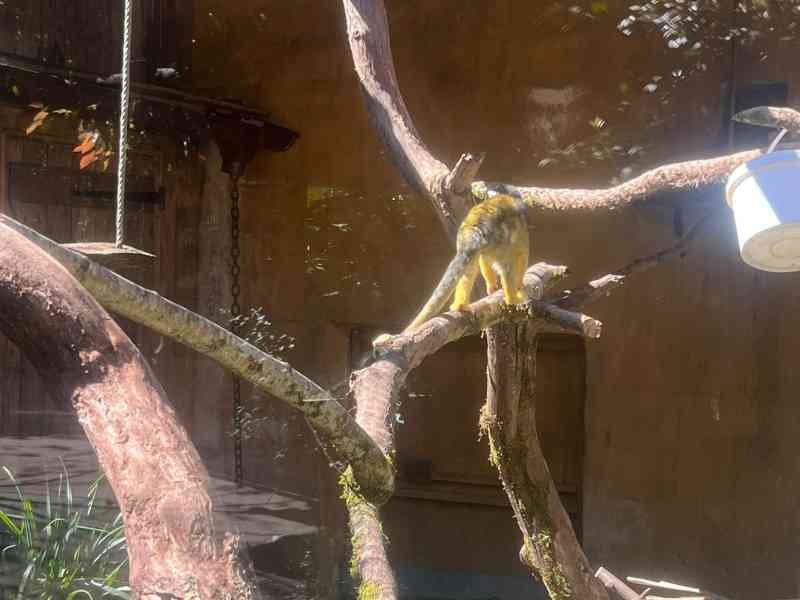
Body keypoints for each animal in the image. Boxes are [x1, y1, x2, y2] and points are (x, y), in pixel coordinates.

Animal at [402, 193, 530, 334]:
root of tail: (475, 229)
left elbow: (483, 260)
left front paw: (492, 286)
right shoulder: (521, 232)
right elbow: (522, 256)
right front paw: (519, 285)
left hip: (468, 242)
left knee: (469, 267)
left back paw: (460, 305)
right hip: (499, 238)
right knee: (507, 267)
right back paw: (512, 299)